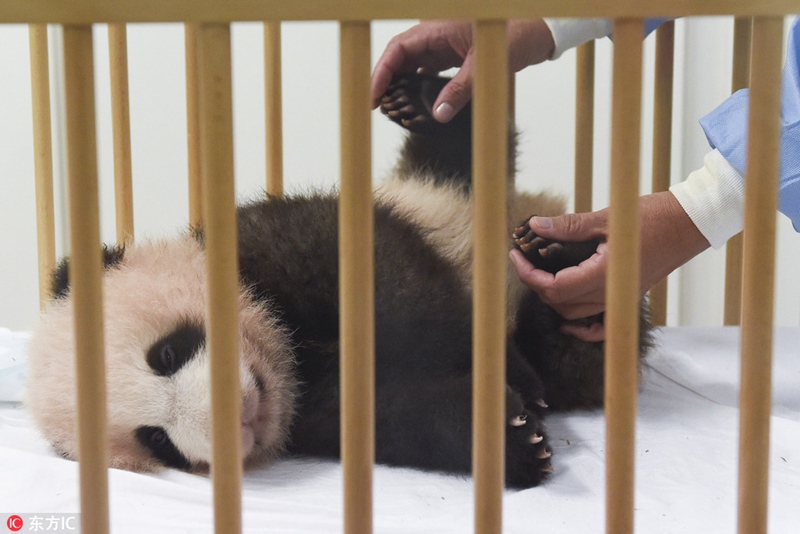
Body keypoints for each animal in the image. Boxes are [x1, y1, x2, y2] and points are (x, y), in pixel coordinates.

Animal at [26, 73, 652, 489]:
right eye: (156, 439)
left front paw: (511, 381)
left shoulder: (279, 238)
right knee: (578, 356)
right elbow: (388, 414)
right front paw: (513, 438)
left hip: (445, 189)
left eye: (166, 353)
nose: (235, 420)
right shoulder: (311, 411)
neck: (289, 354)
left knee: (459, 146)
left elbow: (408, 296)